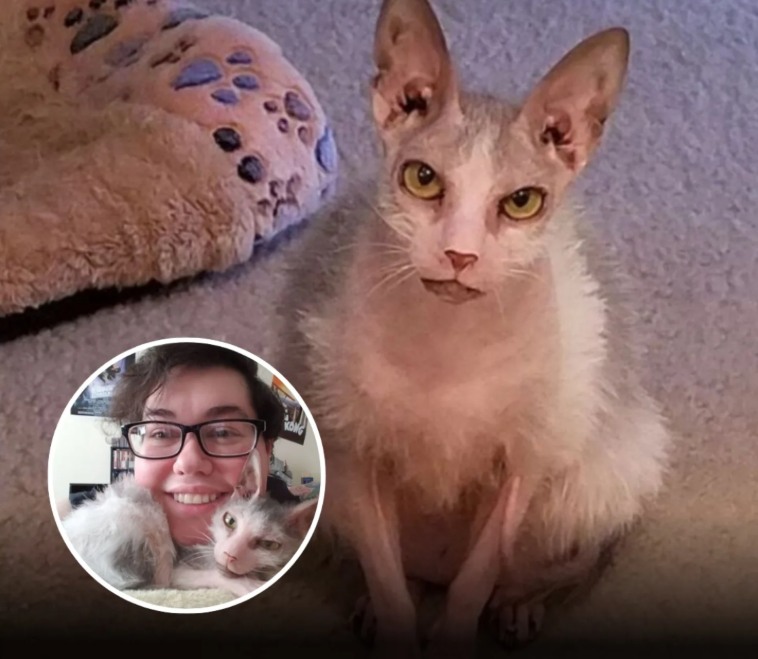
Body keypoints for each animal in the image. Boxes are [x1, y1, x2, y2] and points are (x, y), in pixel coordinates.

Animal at [290, 0, 671, 654]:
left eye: (522, 202)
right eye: (421, 178)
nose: (460, 255)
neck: (448, 350)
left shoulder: (523, 460)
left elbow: (475, 583)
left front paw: (456, 636)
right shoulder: (355, 450)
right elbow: (387, 579)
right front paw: (393, 627)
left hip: (605, 471)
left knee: (545, 566)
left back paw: (518, 606)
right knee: (400, 570)